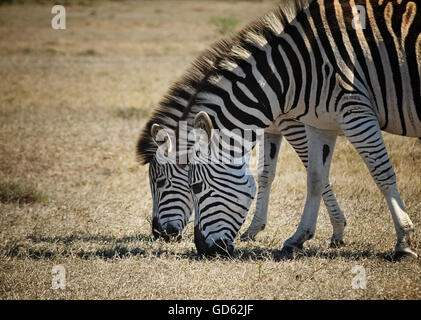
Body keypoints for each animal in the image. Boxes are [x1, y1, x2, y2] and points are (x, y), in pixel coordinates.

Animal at [172, 0, 418, 260]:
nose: (203, 250)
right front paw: (298, 238)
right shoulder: (320, 123)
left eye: (195, 187)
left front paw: (403, 241)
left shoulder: (354, 111)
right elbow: (314, 178)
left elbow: (381, 173)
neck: (294, 71)